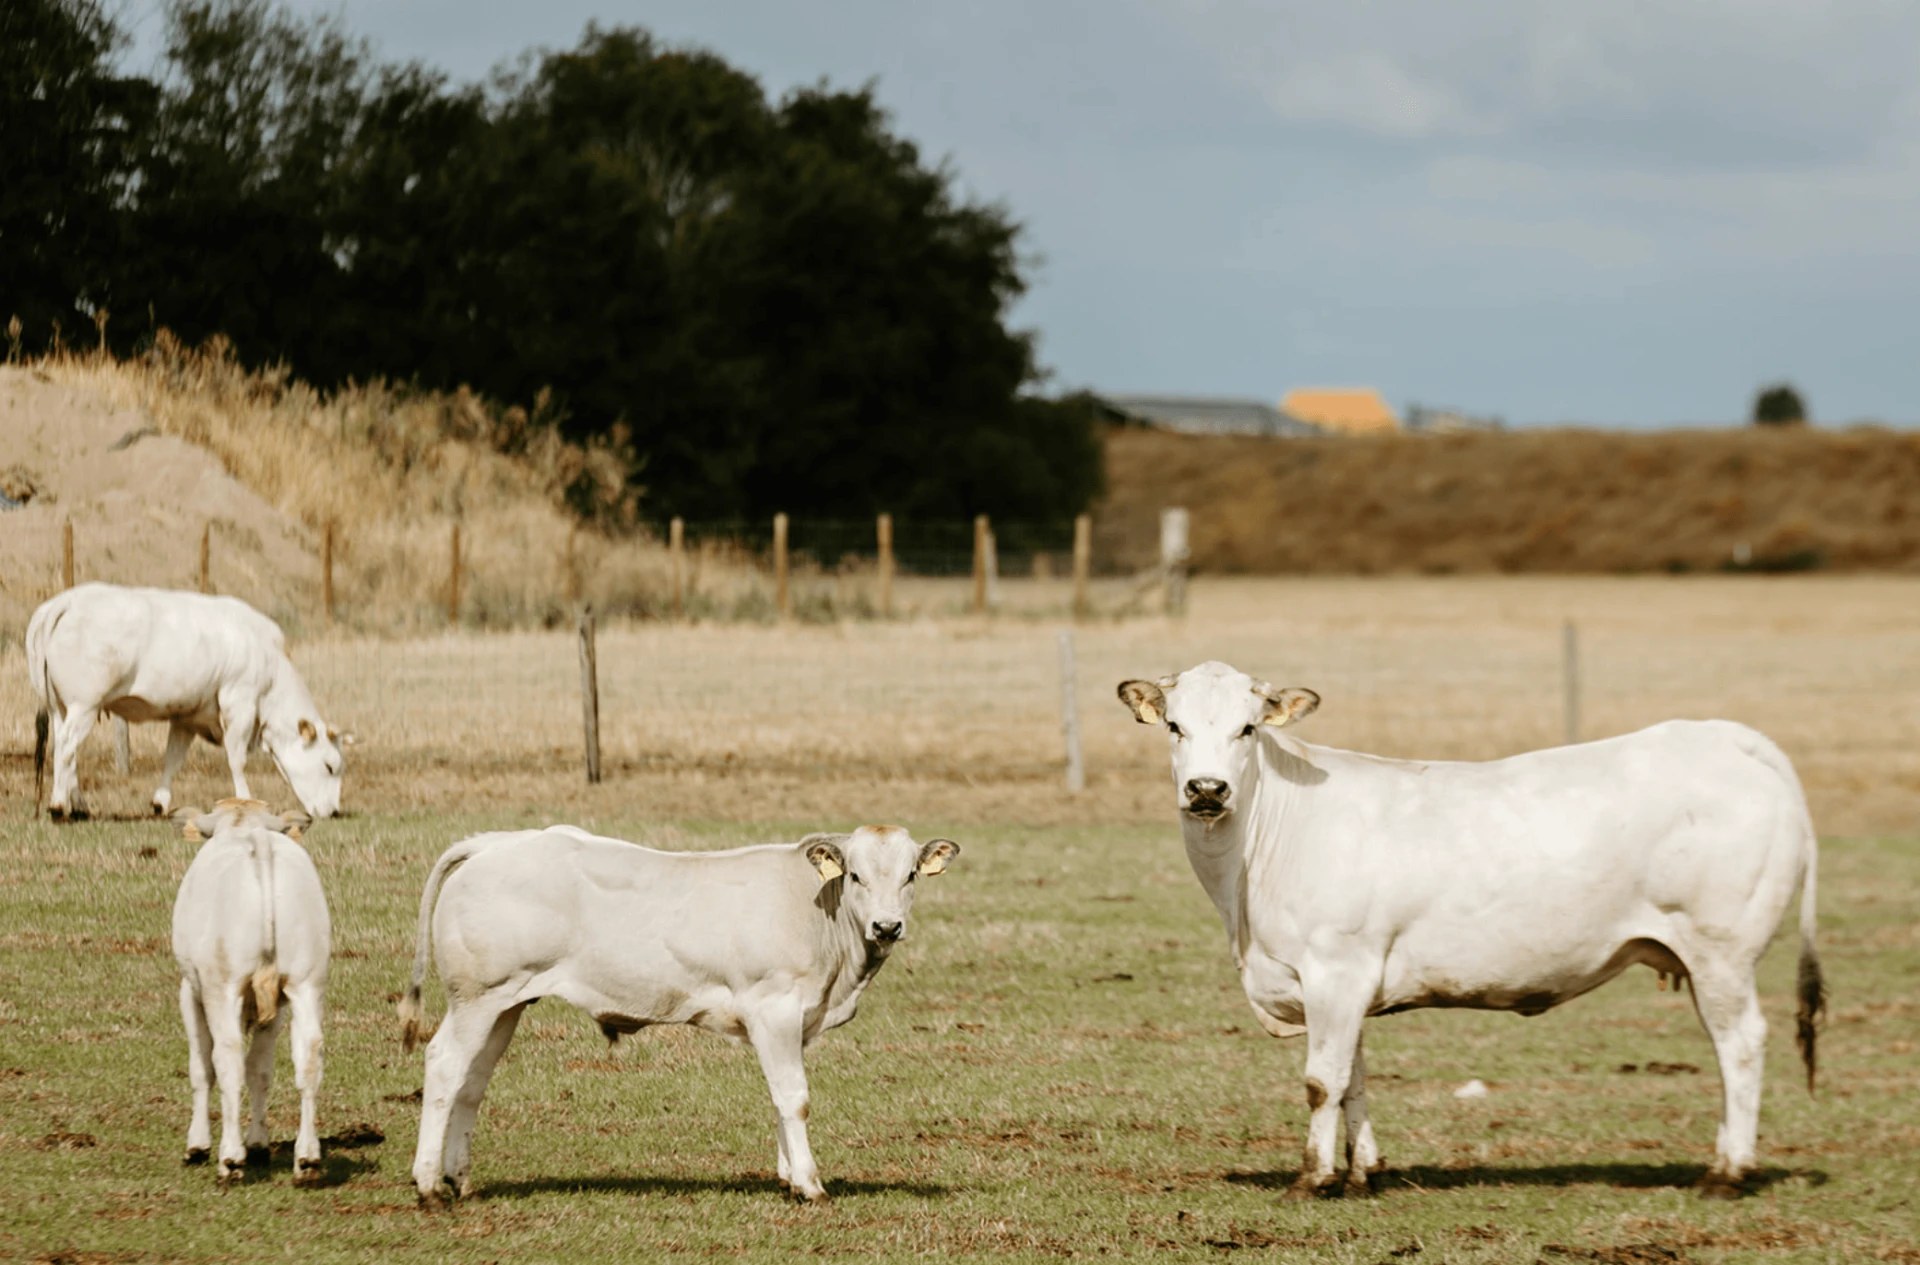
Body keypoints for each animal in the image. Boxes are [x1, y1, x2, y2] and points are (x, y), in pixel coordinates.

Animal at [27, 583, 347, 820]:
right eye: (330, 766)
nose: (333, 812)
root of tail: (66, 600)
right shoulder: (239, 703)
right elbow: (237, 759)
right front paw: (245, 799)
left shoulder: (187, 718)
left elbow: (173, 758)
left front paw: (160, 802)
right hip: (84, 706)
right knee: (67, 746)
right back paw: (58, 806)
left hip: (61, 707)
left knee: (65, 751)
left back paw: (78, 805)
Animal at [171, 799, 331, 1184]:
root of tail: (258, 838)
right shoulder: (280, 1005)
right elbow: (261, 1069)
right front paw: (259, 1142)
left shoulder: (190, 992)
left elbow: (202, 1069)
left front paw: (197, 1145)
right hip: (307, 983)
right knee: (308, 1059)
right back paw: (307, 1158)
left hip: (222, 988)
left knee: (227, 1060)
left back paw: (230, 1158)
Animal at [396, 823, 960, 1207]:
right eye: (857, 876)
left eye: (910, 875)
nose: (887, 926)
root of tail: (496, 842)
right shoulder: (774, 1010)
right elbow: (794, 1099)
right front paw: (809, 1183)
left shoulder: (794, 1023)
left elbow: (780, 1099)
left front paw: (786, 1175)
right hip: (477, 997)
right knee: (444, 1064)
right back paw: (428, 1185)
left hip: (505, 1003)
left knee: (472, 1081)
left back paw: (459, 1178)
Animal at [1116, 660, 1825, 1199]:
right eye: (1175, 726)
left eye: (1247, 727)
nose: (1208, 789)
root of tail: (1726, 738)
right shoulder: (1346, 982)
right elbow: (1354, 1078)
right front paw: (1363, 1174)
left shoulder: (1335, 968)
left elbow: (1323, 1082)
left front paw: (1312, 1180)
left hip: (1721, 952)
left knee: (1741, 1046)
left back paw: (1728, 1174)